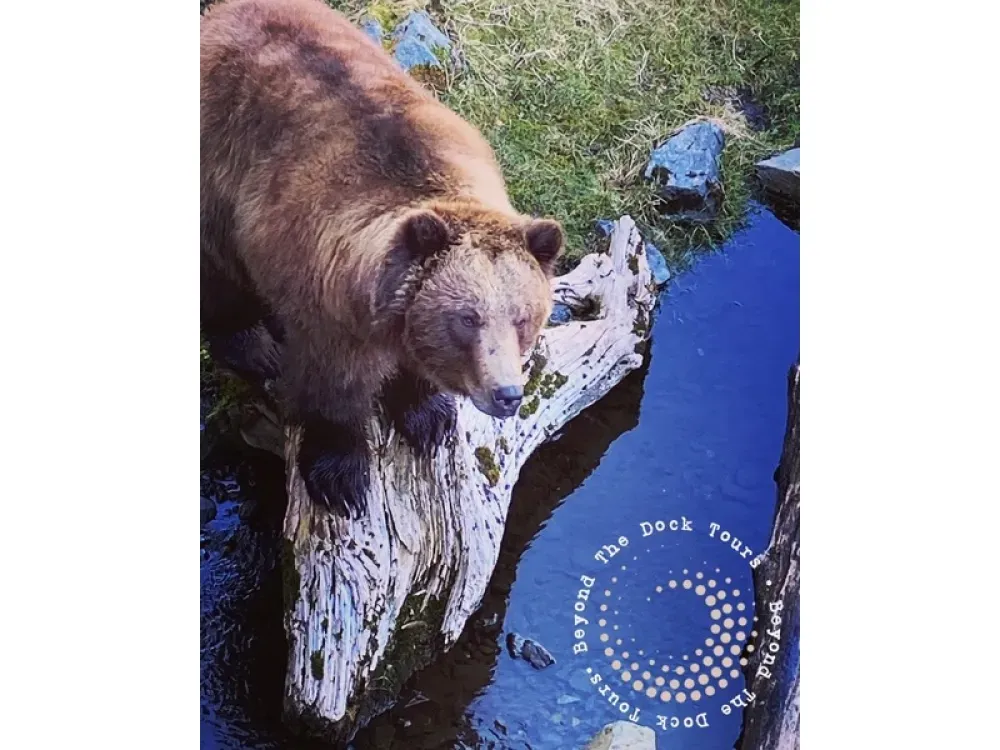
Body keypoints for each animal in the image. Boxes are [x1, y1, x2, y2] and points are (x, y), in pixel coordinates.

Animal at [201, 0, 564, 518]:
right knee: (217, 270)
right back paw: (254, 347)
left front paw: (428, 417)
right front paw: (340, 476)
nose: (507, 394)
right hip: (218, 166)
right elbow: (331, 385)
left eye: (523, 317)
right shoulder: (323, 295)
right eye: (467, 318)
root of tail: (221, 13)